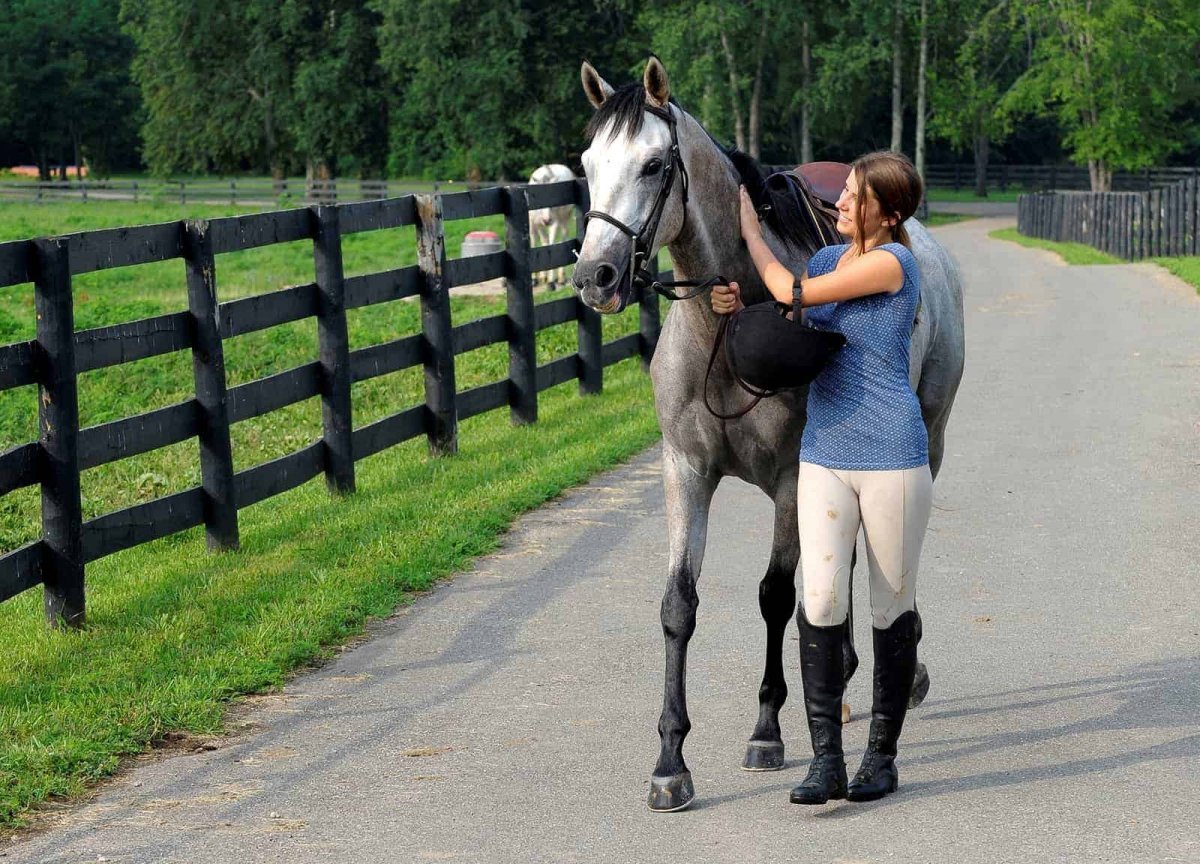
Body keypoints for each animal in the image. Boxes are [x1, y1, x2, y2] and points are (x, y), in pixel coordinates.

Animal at [572, 57, 965, 812]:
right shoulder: (685, 471)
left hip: (923, 444)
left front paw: (767, 730)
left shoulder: (790, 479)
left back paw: (897, 673)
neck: (727, 327)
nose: (595, 277)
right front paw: (670, 763)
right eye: (587, 165)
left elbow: (776, 597)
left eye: (654, 164)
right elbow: (679, 605)